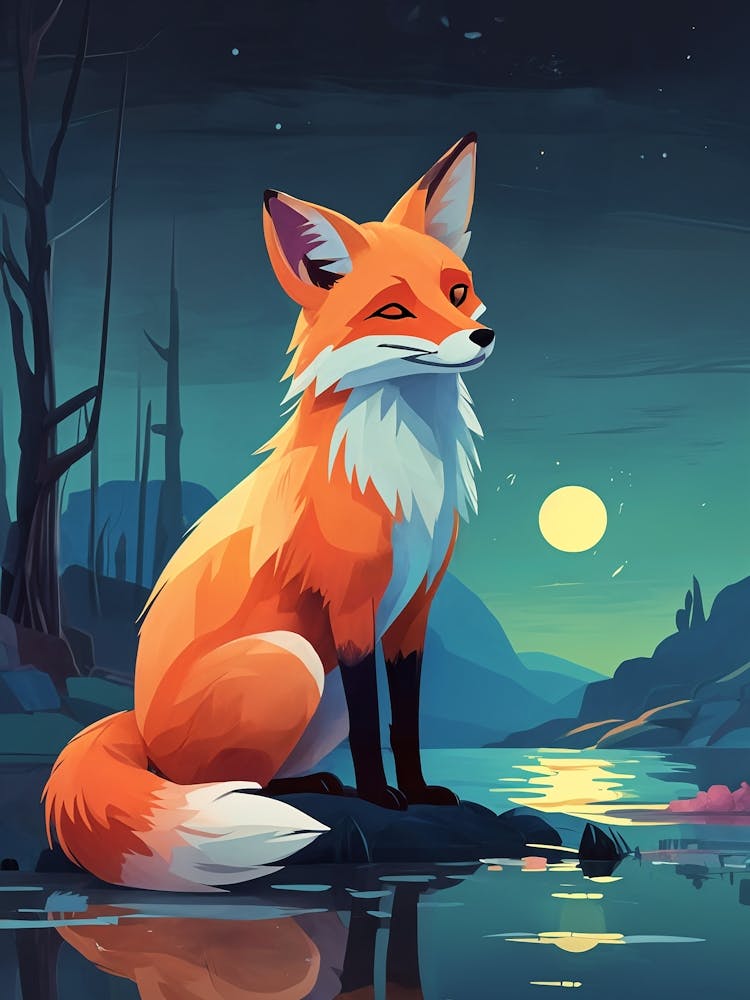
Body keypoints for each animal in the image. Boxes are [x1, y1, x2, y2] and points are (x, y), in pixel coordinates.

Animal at [43, 132, 494, 891]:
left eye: (456, 292)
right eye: (394, 312)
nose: (481, 337)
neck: (405, 471)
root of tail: (136, 723)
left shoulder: (412, 609)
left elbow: (405, 718)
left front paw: (419, 790)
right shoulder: (351, 606)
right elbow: (373, 720)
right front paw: (382, 796)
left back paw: (316, 784)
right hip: (295, 658)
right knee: (220, 784)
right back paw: (304, 795)